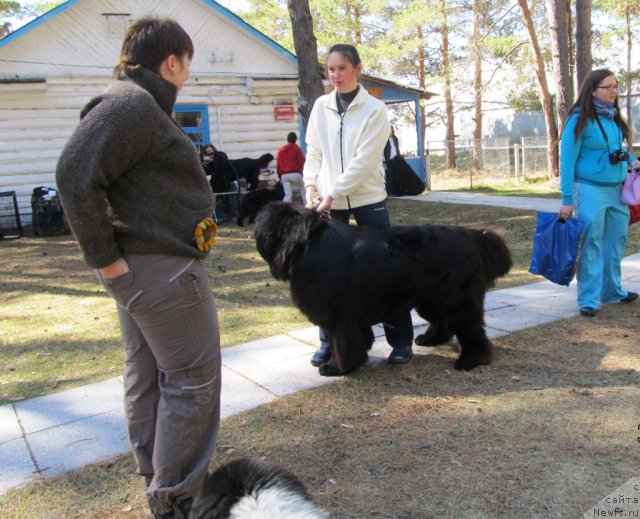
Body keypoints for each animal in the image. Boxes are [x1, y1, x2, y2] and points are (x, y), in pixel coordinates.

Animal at [252, 201, 512, 376]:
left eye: (263, 225)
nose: (254, 231)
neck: (307, 244)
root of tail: (471, 234)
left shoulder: (338, 317)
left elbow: (340, 343)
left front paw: (336, 367)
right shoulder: (351, 315)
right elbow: (357, 337)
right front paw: (358, 357)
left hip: (458, 300)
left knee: (472, 330)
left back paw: (470, 360)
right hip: (429, 299)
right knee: (443, 322)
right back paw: (429, 339)